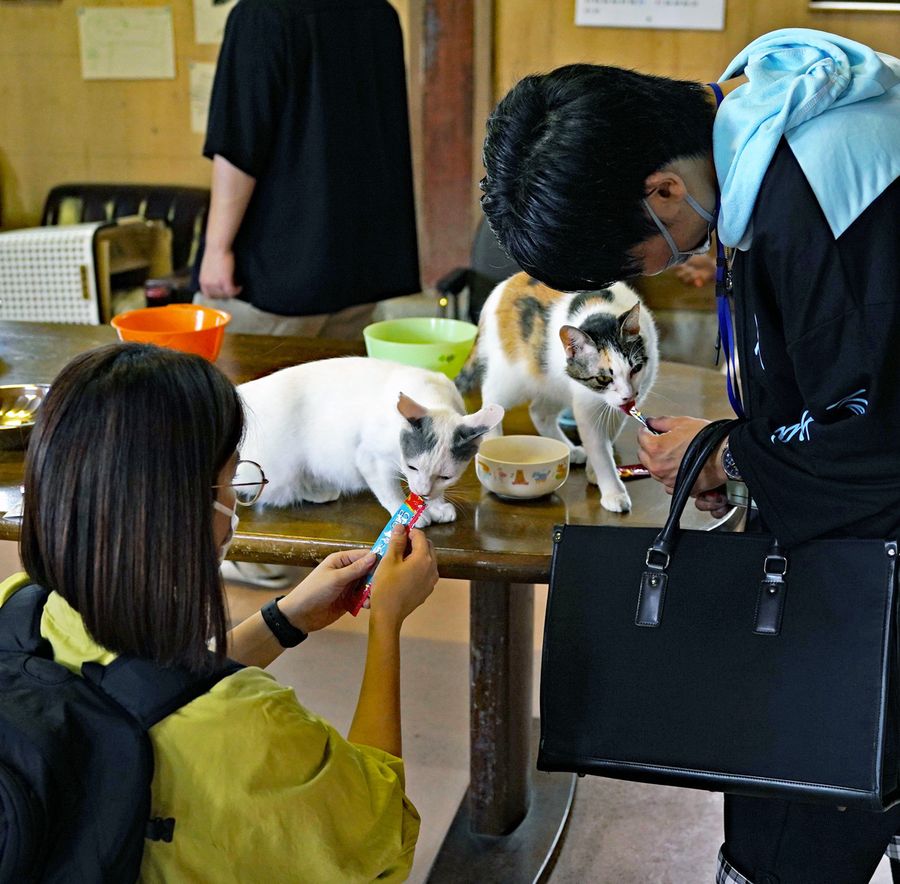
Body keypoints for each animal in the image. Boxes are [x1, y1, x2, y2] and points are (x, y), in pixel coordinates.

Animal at [239, 360, 502, 524]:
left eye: (446, 476)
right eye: (412, 467)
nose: (422, 491)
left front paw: (436, 505)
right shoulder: (370, 459)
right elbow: (389, 491)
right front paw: (405, 513)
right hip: (281, 469)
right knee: (271, 491)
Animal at [458, 272, 660, 516]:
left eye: (636, 369)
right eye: (603, 379)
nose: (628, 395)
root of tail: (503, 287)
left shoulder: (619, 408)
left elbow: (608, 437)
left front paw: (594, 471)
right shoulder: (588, 408)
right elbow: (599, 448)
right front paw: (613, 491)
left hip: (553, 382)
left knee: (539, 411)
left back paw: (571, 450)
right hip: (511, 377)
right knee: (491, 402)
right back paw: (493, 445)